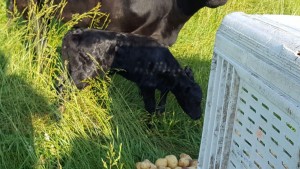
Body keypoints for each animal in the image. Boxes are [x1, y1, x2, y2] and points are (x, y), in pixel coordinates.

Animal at [60, 28, 202, 119]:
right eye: (195, 100)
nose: (198, 117)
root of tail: (75, 33)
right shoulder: (147, 86)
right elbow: (151, 107)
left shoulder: (163, 88)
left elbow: (161, 107)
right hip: (84, 74)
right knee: (65, 89)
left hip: (68, 68)